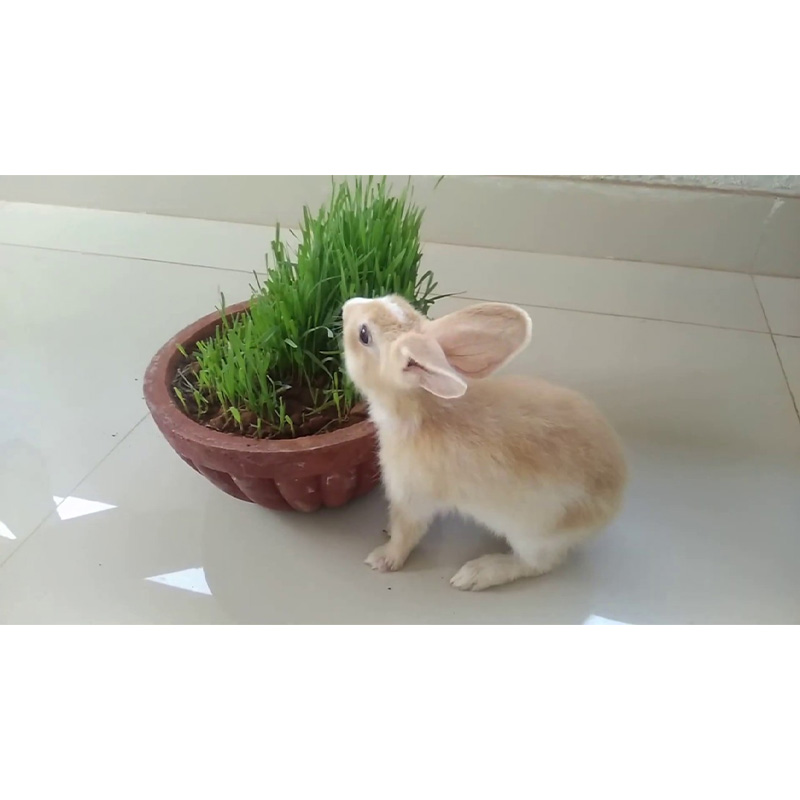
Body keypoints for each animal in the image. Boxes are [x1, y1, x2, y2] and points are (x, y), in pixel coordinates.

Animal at [341, 295, 627, 591]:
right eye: (391, 299)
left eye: (364, 334)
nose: (347, 305)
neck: (421, 410)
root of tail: (615, 499)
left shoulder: (411, 499)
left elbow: (405, 534)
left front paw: (383, 559)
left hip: (534, 534)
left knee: (537, 564)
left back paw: (476, 573)